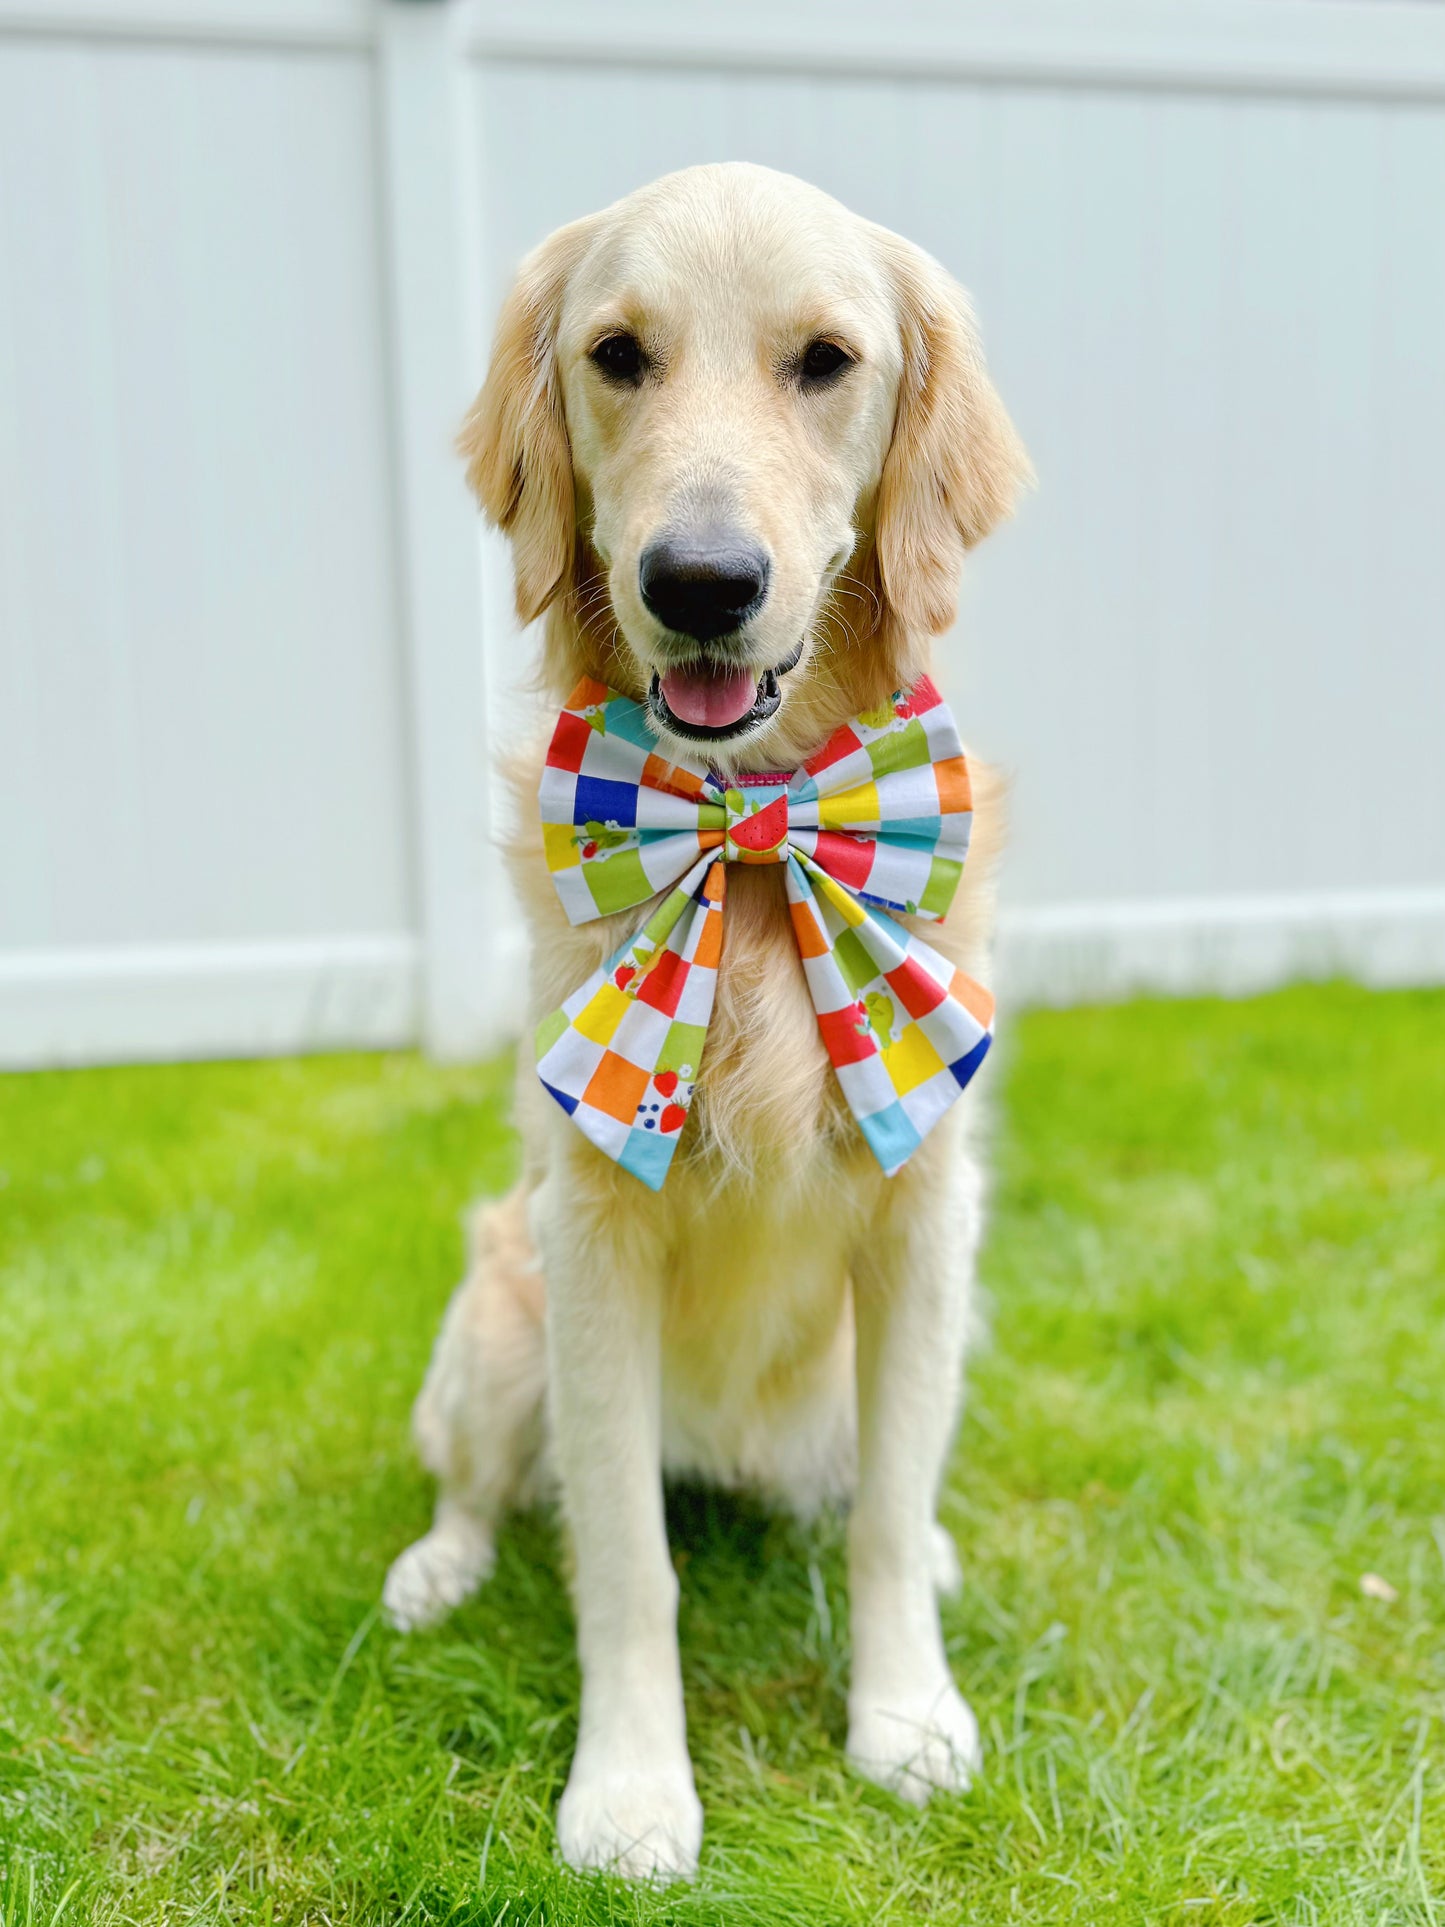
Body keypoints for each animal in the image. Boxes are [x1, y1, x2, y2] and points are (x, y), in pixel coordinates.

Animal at [375, 165, 1032, 1880]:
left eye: (826, 361)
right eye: (617, 354)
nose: (701, 584)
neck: (746, 836)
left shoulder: (926, 1210)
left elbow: (883, 1516)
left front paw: (905, 1716)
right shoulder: (595, 1233)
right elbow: (624, 1555)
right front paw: (627, 1791)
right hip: (499, 1319)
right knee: (479, 1483)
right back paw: (433, 1566)